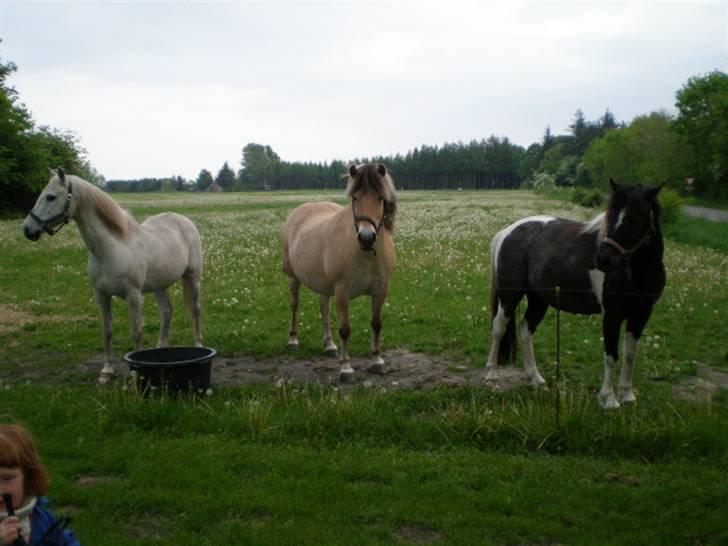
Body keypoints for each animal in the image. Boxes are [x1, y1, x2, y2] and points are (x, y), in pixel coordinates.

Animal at [23, 168, 204, 384]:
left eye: (51, 197)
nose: (27, 229)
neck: (110, 249)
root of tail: (184, 221)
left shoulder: (133, 295)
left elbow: (137, 332)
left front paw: (135, 372)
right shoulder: (101, 295)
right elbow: (107, 331)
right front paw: (107, 371)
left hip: (193, 278)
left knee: (196, 310)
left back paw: (199, 345)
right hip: (159, 286)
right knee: (167, 312)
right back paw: (161, 347)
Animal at [282, 163, 397, 382]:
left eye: (380, 197)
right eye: (355, 198)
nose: (367, 238)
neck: (366, 254)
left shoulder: (381, 291)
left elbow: (376, 324)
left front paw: (377, 361)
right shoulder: (343, 292)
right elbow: (345, 329)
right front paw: (346, 368)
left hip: (325, 285)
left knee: (324, 308)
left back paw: (329, 345)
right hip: (293, 278)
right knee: (294, 305)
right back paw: (292, 340)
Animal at [484, 180, 665, 408]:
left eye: (635, 218)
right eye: (610, 215)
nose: (603, 259)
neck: (638, 272)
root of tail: (508, 230)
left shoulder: (641, 314)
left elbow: (630, 354)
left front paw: (627, 395)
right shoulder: (612, 315)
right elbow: (611, 355)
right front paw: (609, 399)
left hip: (539, 299)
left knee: (525, 329)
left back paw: (536, 378)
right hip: (510, 296)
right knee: (498, 329)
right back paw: (491, 376)